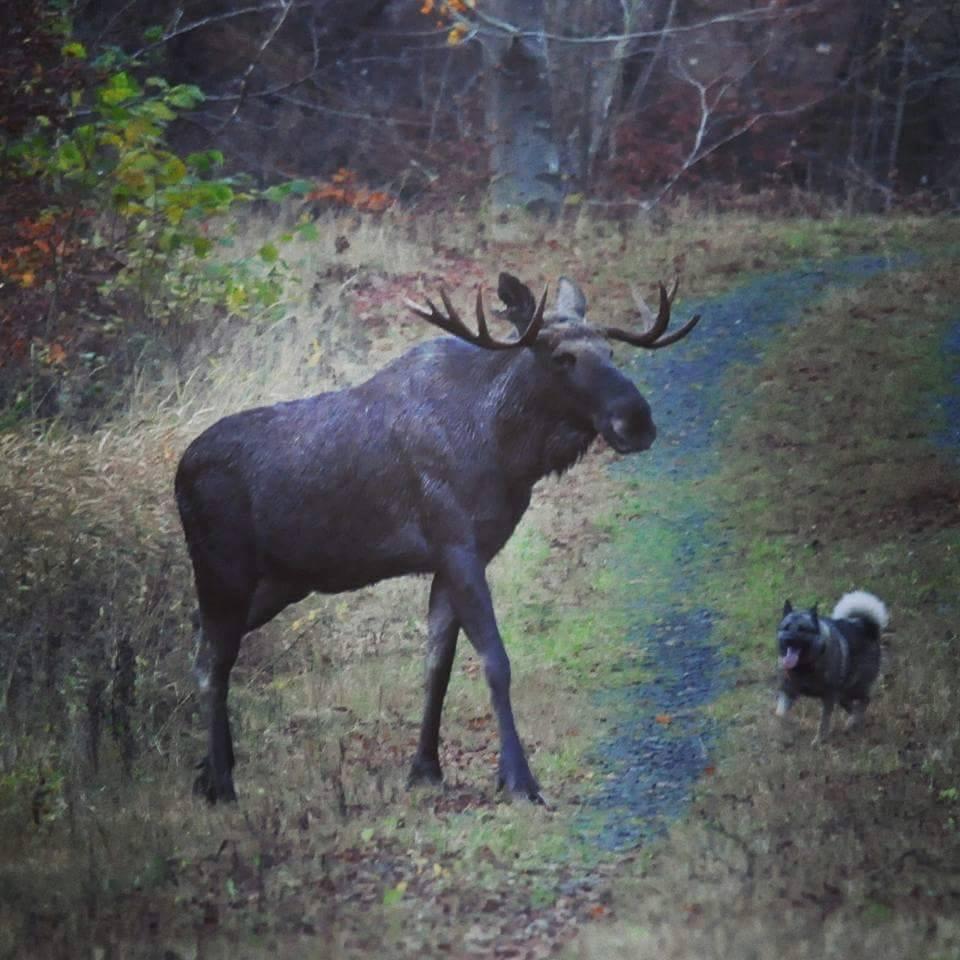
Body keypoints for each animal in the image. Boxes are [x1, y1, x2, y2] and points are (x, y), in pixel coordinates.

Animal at [174, 274, 696, 808]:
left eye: (610, 350)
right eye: (561, 357)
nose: (636, 420)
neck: (506, 448)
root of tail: (178, 473)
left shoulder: (454, 560)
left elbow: (436, 665)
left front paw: (426, 768)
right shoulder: (457, 546)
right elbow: (495, 661)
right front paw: (519, 780)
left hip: (279, 583)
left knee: (203, 639)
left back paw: (208, 771)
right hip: (223, 569)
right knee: (211, 659)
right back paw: (222, 783)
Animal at [776, 588, 888, 748]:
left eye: (802, 629)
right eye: (786, 627)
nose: (788, 639)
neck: (804, 666)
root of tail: (868, 626)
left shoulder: (828, 697)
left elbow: (823, 722)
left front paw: (819, 740)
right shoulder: (788, 691)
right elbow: (780, 715)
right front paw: (788, 728)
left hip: (854, 688)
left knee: (865, 700)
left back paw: (853, 721)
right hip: (842, 694)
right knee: (852, 707)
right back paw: (853, 721)